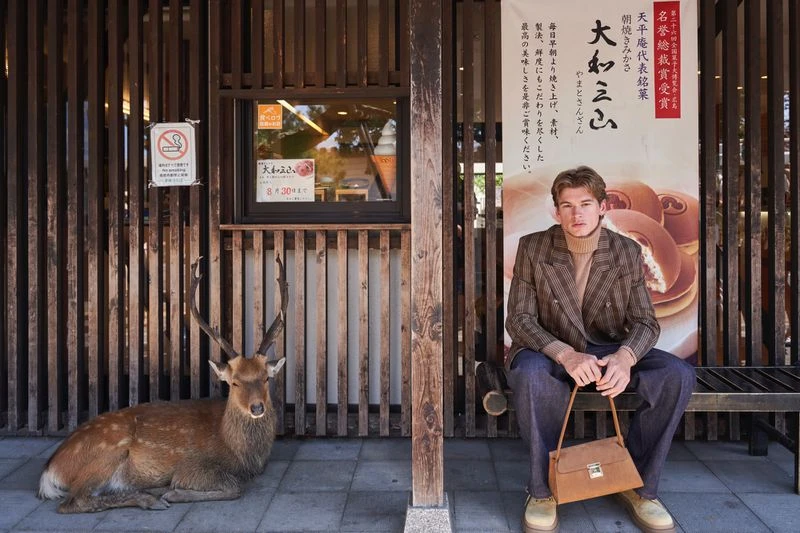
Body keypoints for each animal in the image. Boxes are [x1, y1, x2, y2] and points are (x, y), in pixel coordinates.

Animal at [38, 256, 289, 514]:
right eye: (235, 383)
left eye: (266, 378)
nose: (257, 407)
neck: (239, 452)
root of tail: (50, 470)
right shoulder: (193, 466)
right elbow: (234, 487)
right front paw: (174, 492)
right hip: (106, 454)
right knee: (74, 501)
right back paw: (150, 499)